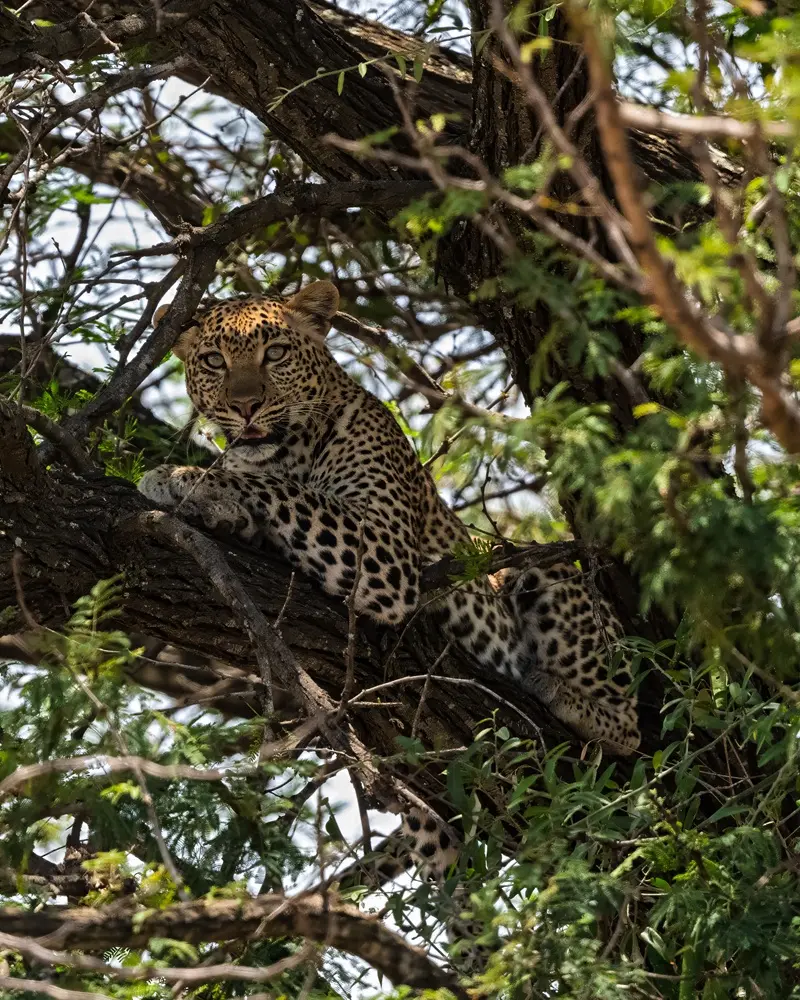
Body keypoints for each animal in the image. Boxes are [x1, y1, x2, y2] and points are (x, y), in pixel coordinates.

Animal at [138, 278, 640, 898]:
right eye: (213, 361)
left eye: (274, 354)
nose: (246, 405)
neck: (288, 451)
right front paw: (216, 501)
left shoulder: (383, 549)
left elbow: (283, 490)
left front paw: (185, 478)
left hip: (543, 575)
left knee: (631, 728)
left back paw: (561, 694)